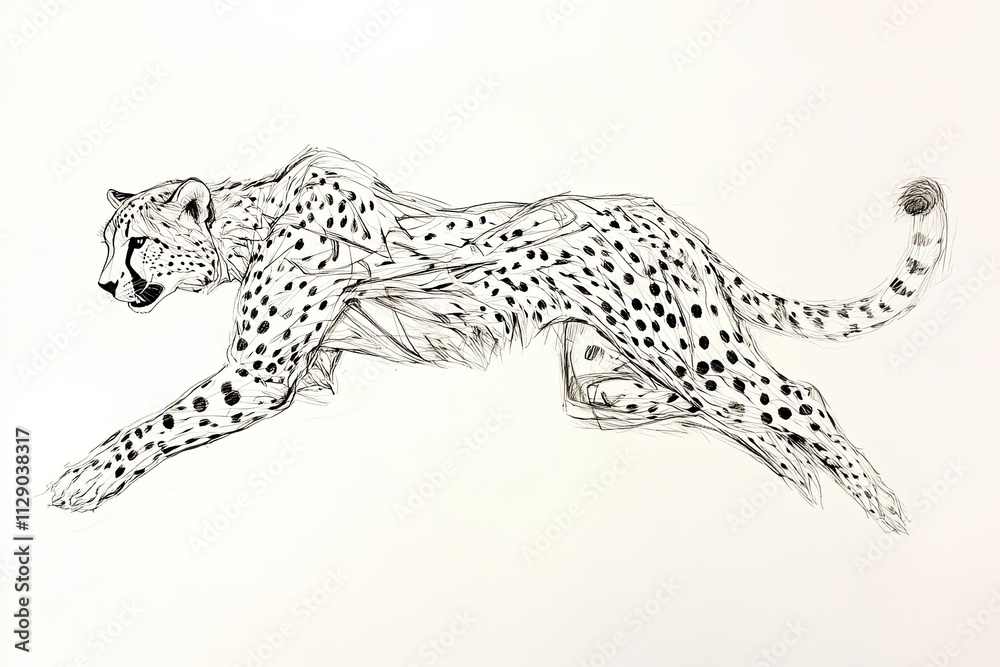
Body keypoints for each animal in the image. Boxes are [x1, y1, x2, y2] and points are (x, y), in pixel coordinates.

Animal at [48, 147, 950, 533]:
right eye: (108, 242)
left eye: (136, 245)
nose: (104, 286)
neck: (252, 221)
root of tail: (672, 220)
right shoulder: (304, 373)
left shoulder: (260, 373)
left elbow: (155, 424)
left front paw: (82, 481)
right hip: (610, 373)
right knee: (731, 415)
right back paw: (806, 485)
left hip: (689, 347)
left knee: (797, 398)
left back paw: (886, 513)